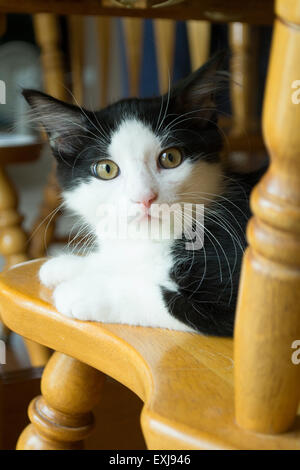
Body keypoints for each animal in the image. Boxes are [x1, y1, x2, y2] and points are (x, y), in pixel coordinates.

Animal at [23, 54, 264, 334]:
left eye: (171, 158)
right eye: (106, 169)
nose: (144, 197)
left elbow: (164, 299)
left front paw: (81, 292)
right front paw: (72, 265)